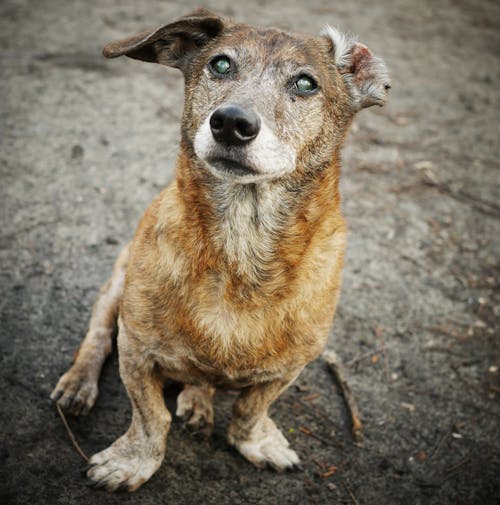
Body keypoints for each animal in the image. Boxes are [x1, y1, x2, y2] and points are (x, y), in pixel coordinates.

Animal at [48, 6, 388, 488]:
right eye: (220, 64)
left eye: (306, 83)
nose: (231, 122)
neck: (239, 249)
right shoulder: (136, 352)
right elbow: (150, 418)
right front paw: (131, 461)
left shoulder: (289, 369)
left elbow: (250, 409)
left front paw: (258, 442)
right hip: (116, 283)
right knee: (96, 336)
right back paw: (78, 385)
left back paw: (198, 399)